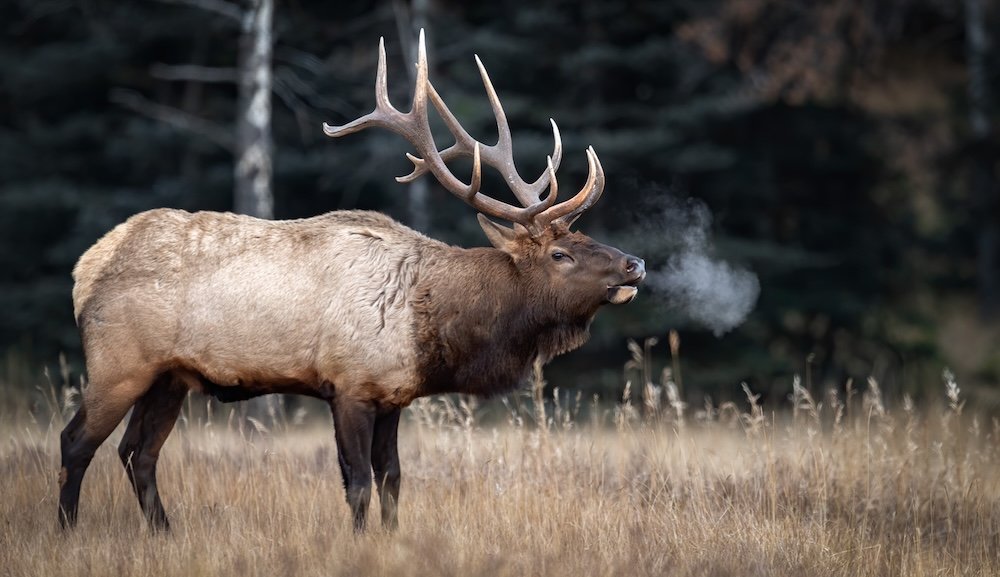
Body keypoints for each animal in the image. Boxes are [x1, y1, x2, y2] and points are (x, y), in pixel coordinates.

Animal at [58, 31, 644, 533]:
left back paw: (164, 532)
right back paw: (68, 531)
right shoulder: (349, 385)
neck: (430, 326)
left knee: (138, 453)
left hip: (169, 377)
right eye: (561, 253)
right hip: (119, 362)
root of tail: (85, 268)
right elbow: (358, 482)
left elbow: (393, 480)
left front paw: (392, 538)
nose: (634, 264)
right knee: (76, 442)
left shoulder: (394, 396)